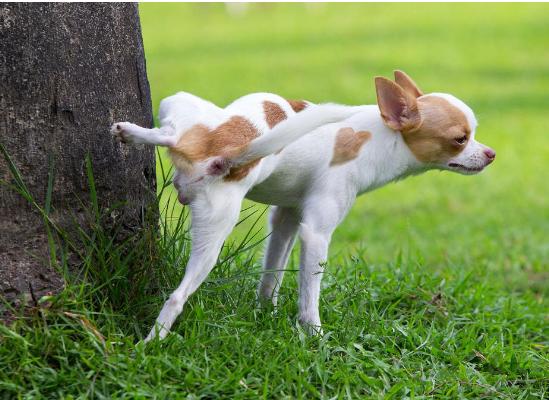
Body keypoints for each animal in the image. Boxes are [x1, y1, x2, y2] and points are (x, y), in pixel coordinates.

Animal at [110, 69, 492, 340]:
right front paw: (315, 337)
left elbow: (272, 275)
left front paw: (266, 313)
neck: (379, 136)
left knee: (172, 135)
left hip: (192, 147)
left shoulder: (287, 219)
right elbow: (310, 296)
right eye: (460, 139)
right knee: (177, 296)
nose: (491, 153)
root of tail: (227, 152)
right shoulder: (316, 234)